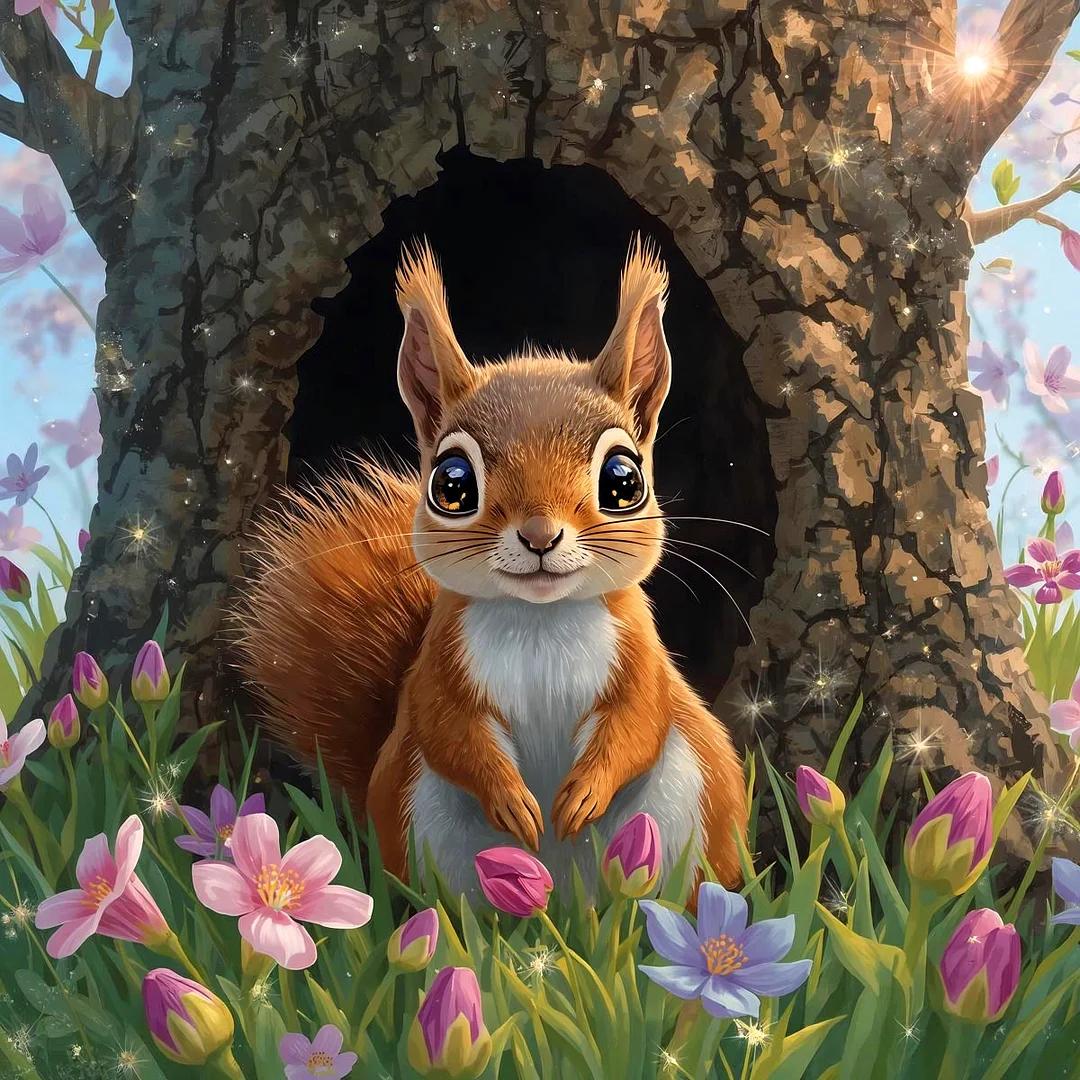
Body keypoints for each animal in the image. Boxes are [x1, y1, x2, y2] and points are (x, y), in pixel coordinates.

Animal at [236, 237, 748, 898]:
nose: (539, 536)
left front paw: (584, 794)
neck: (540, 622)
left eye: (623, 480)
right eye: (451, 484)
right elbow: (448, 728)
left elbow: (638, 720)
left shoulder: (642, 660)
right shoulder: (438, 668)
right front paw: (510, 799)